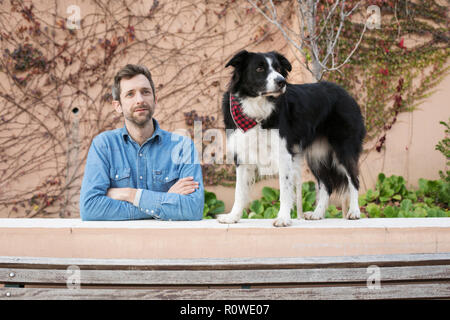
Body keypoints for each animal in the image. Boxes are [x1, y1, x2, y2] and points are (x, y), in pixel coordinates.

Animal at [217, 50, 366, 228]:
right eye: (259, 68)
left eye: (278, 68)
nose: (281, 81)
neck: (257, 107)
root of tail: (346, 94)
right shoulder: (242, 155)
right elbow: (239, 190)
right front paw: (233, 217)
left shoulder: (283, 153)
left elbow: (285, 189)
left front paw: (283, 218)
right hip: (316, 155)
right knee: (326, 185)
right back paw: (317, 214)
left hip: (343, 149)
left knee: (353, 179)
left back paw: (354, 211)